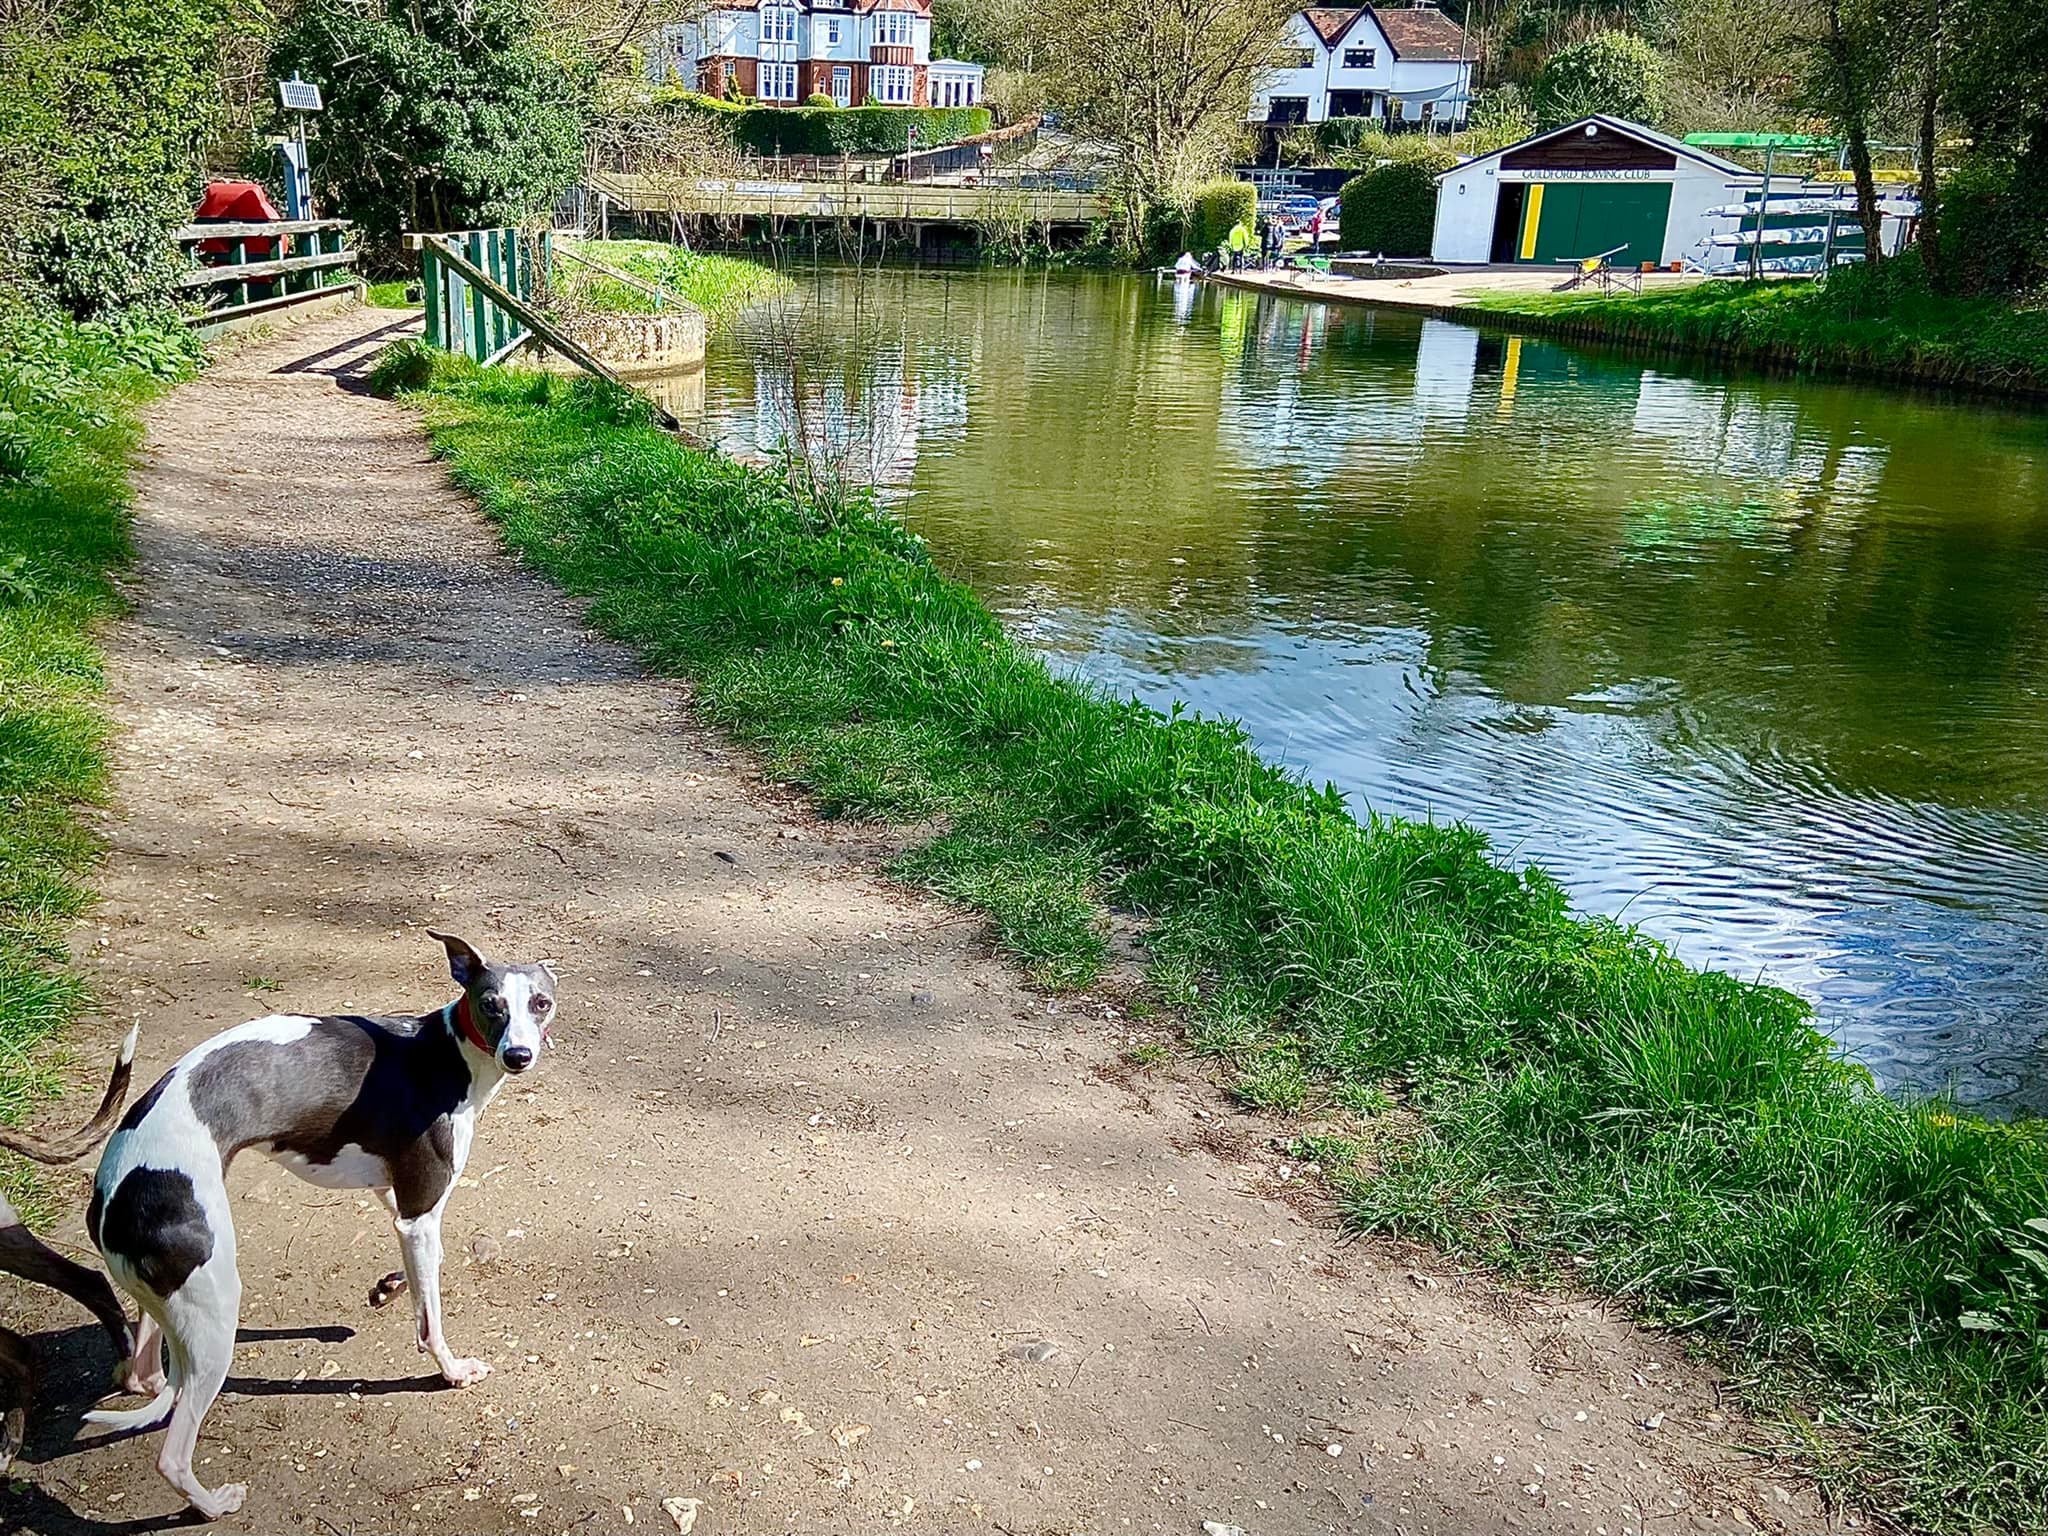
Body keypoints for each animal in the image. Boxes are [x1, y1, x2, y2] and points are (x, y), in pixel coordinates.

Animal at [85, 931, 556, 1519]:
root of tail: (108, 1194)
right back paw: (213, 1504)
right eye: (491, 1004)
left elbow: (419, 1264)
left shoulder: (401, 1202)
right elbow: (430, 1321)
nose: (519, 1055)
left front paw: (388, 1286)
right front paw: (451, 1370)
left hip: (169, 1296)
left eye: (541, 1002)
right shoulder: (420, 1209)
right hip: (215, 1310)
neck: (450, 1054)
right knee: (171, 1451)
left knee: (144, 1375)